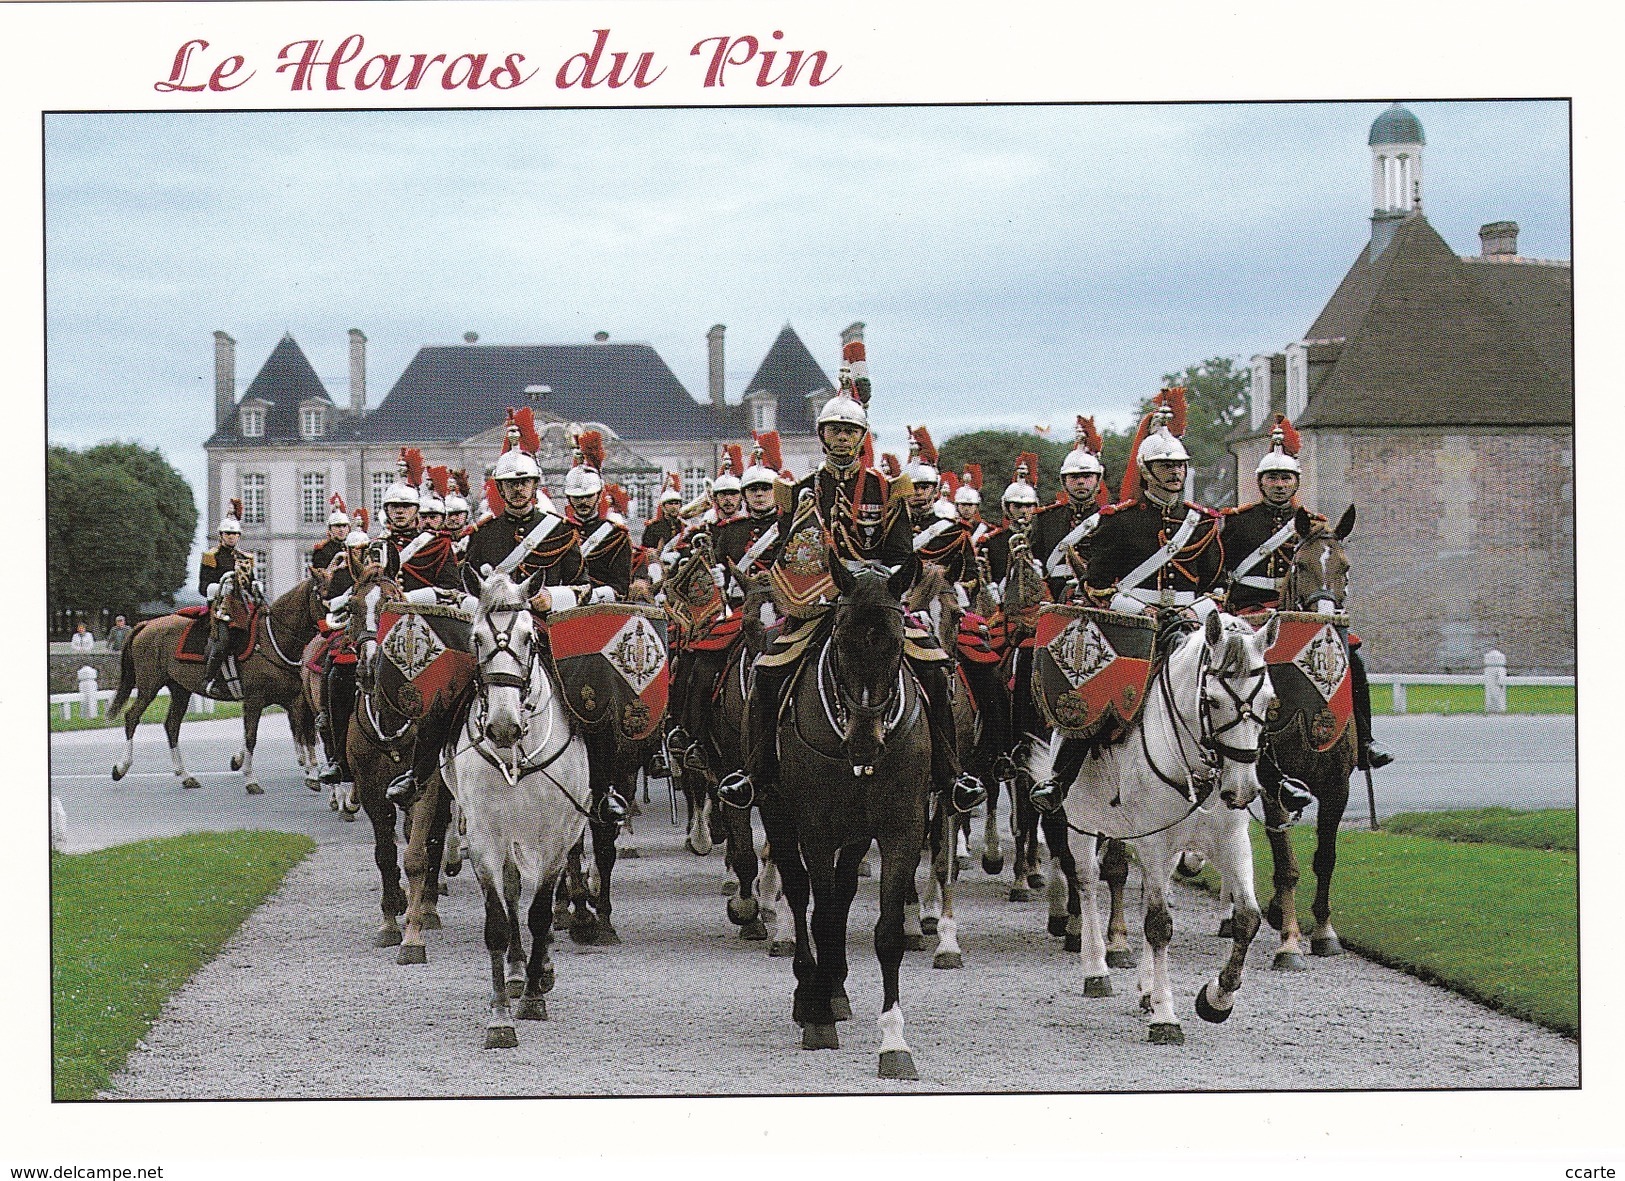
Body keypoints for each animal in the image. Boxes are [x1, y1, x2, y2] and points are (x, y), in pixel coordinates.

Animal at [109, 571, 328, 795]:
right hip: (149, 686)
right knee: (132, 717)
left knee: (171, 725)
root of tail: (147, 624)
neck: (273, 640)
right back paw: (121, 767)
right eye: (323, 595)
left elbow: (305, 733)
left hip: (180, 690)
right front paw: (251, 779)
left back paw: (185, 775)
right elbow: (251, 737)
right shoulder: (254, 700)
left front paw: (312, 773)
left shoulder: (296, 700)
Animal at [445, 575, 591, 1052]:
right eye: (476, 638)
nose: (503, 727)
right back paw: (515, 968)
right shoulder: (485, 838)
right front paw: (499, 1018)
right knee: (511, 896)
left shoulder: (554, 840)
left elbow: (541, 913)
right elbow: (497, 920)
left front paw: (531, 999)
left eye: (530, 637)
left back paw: (539, 971)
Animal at [754, 558, 936, 1085]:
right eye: (839, 642)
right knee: (802, 896)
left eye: (895, 644)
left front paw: (894, 1042)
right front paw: (817, 1017)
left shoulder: (902, 829)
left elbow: (887, 931)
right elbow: (819, 914)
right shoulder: (815, 829)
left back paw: (832, 986)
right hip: (778, 813)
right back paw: (810, 989)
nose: (864, 743)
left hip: (856, 835)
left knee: (841, 894)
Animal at [1033, 610, 1274, 1046]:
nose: (1242, 790)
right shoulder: (1153, 844)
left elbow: (1247, 919)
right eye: (1212, 701)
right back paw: (1096, 970)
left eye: (1268, 700)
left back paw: (1145, 988)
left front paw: (1216, 999)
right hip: (1083, 829)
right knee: (1088, 883)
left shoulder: (1230, 842)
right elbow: (1159, 926)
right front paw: (1166, 1016)